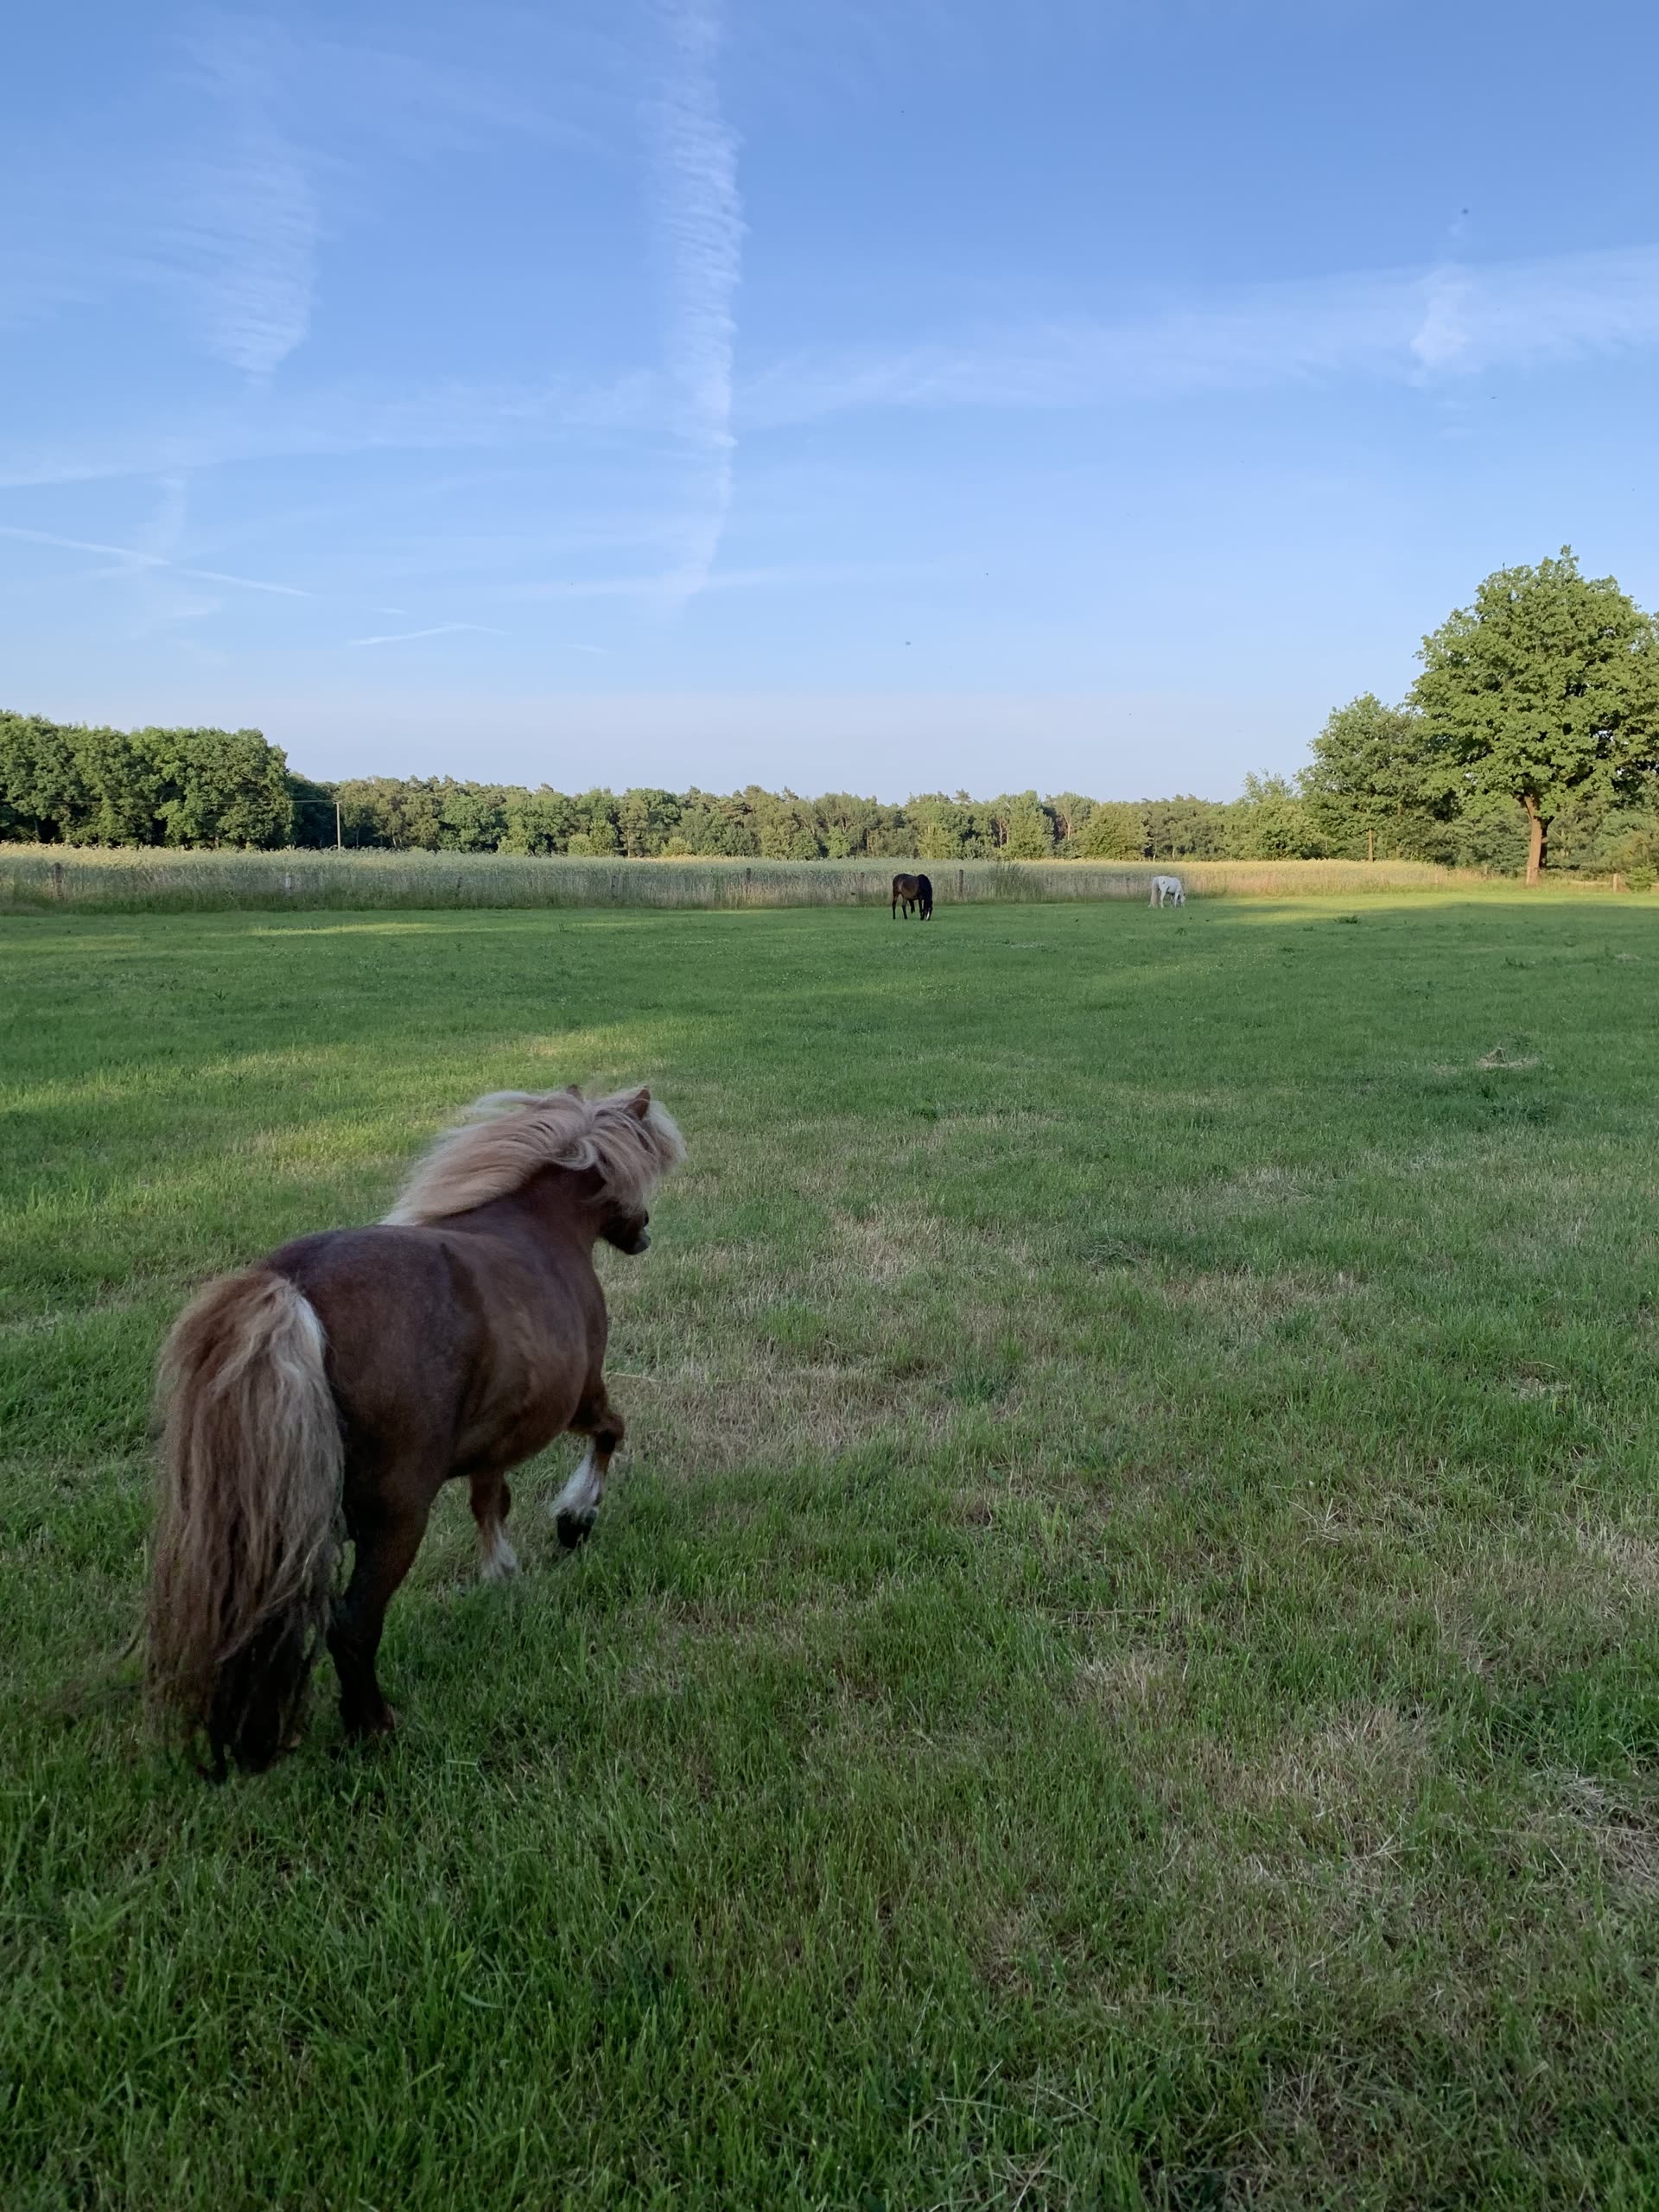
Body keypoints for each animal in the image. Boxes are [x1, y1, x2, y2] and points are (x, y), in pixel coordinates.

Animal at [146, 1084, 684, 1776]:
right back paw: (374, 1726)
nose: (644, 1233)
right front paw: (574, 1518)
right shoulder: (579, 1397)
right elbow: (611, 1433)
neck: (540, 1228)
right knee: (351, 1621)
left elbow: (491, 1499)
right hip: (396, 1515)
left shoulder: (495, 1434)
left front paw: (502, 1571)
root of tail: (291, 1290)